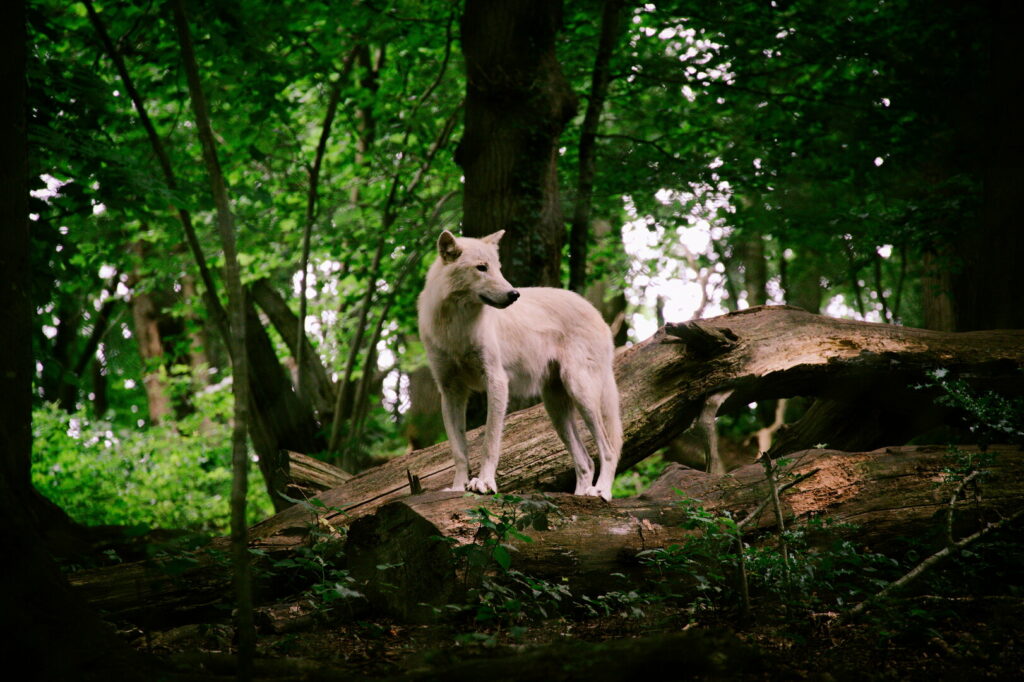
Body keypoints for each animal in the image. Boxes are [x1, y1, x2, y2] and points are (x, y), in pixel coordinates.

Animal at [417, 228, 622, 499]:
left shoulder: (496, 381)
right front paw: (458, 488)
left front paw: (484, 483)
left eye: (498, 268)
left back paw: (600, 492)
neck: (456, 327)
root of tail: (597, 314)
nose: (514, 294)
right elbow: (459, 451)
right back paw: (581, 495)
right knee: (586, 462)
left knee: (608, 450)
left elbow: (489, 443)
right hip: (555, 408)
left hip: (581, 394)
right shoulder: (451, 392)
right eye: (481, 267)